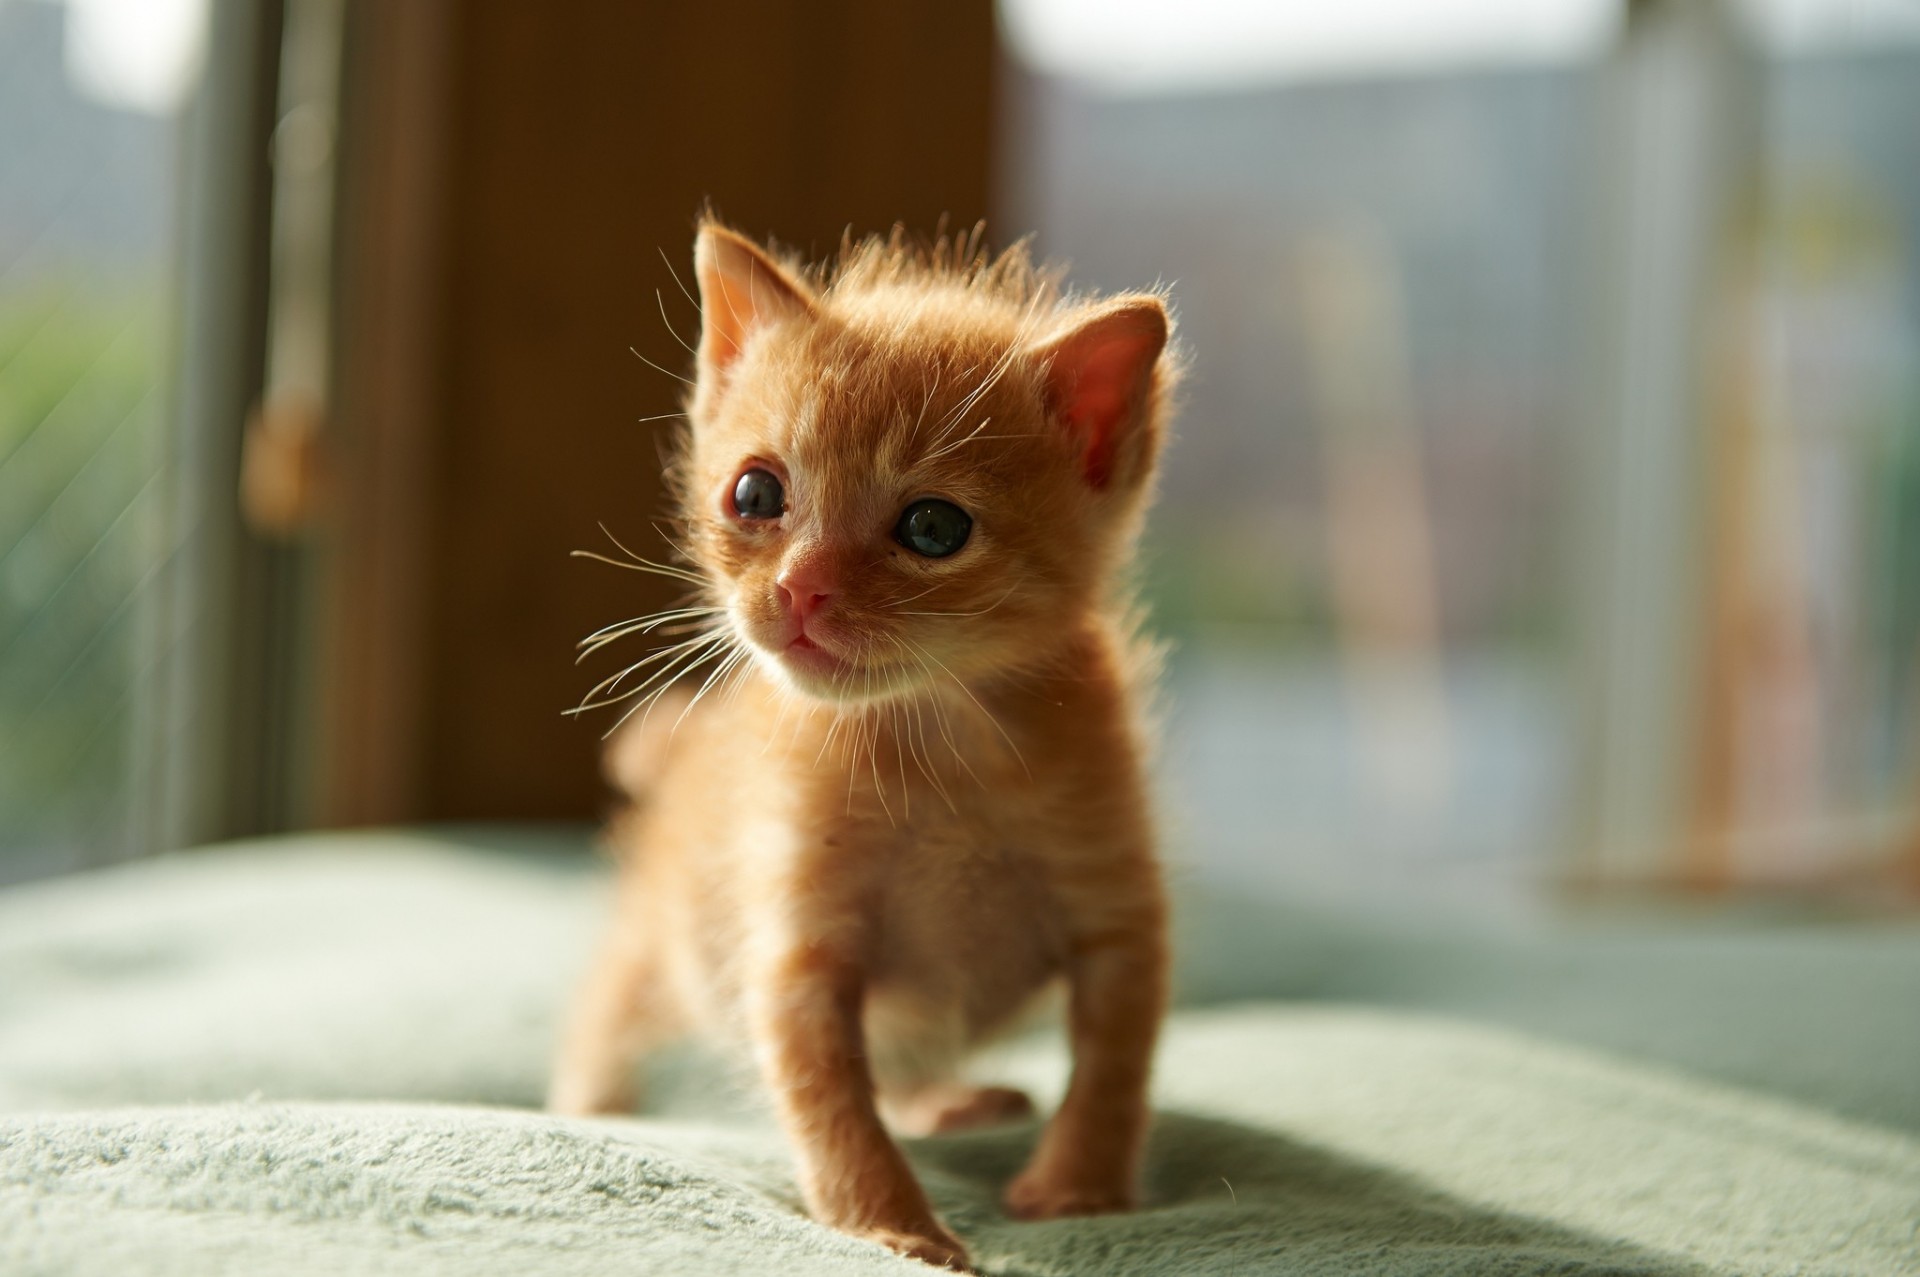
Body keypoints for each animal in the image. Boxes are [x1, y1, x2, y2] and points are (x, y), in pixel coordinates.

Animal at [549, 218, 1175, 1267]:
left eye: (932, 526)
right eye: (756, 493)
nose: (800, 588)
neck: (936, 747)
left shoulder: (1117, 909)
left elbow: (1114, 1064)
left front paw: (1080, 1186)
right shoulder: (796, 944)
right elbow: (828, 1098)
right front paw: (889, 1223)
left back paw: (943, 1100)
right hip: (662, 939)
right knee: (610, 1005)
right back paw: (588, 1103)